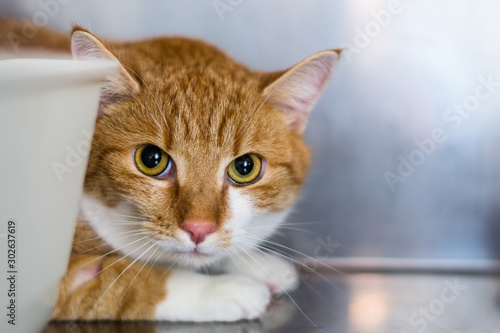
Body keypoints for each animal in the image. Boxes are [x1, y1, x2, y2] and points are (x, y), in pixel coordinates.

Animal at [0, 18, 340, 322]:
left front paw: (254, 262)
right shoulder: (60, 283)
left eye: (245, 167)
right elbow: (125, 283)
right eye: (151, 160)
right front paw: (218, 290)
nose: (199, 229)